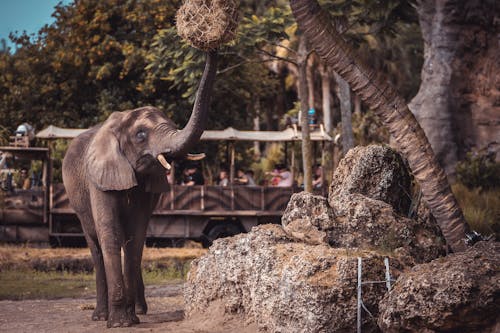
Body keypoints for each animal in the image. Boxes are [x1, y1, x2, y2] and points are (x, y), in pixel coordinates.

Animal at [62, 50, 217, 326]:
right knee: (95, 246)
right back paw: (100, 316)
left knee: (132, 244)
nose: (213, 49)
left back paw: (137, 311)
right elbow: (109, 234)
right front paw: (118, 323)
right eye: (141, 135)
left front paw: (130, 319)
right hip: (77, 203)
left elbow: (135, 238)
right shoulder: (97, 178)